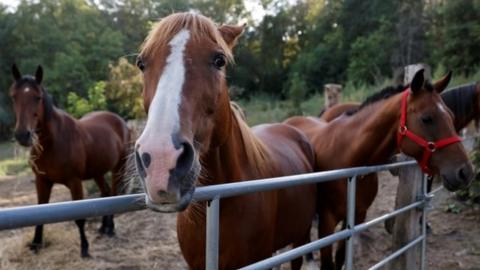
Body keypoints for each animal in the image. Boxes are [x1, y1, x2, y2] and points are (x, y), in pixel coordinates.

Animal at [8, 65, 130, 258]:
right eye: (14, 96)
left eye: (37, 97)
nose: (22, 135)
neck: (52, 143)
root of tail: (119, 121)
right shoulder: (42, 181)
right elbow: (39, 211)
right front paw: (36, 244)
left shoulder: (74, 182)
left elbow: (79, 218)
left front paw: (85, 248)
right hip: (97, 172)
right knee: (105, 193)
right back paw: (103, 228)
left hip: (119, 168)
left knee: (114, 194)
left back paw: (110, 229)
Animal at [284, 70, 472, 270]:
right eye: (427, 118)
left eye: (451, 115)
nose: (465, 172)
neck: (348, 157)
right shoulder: (327, 222)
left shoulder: (355, 217)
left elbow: (341, 258)